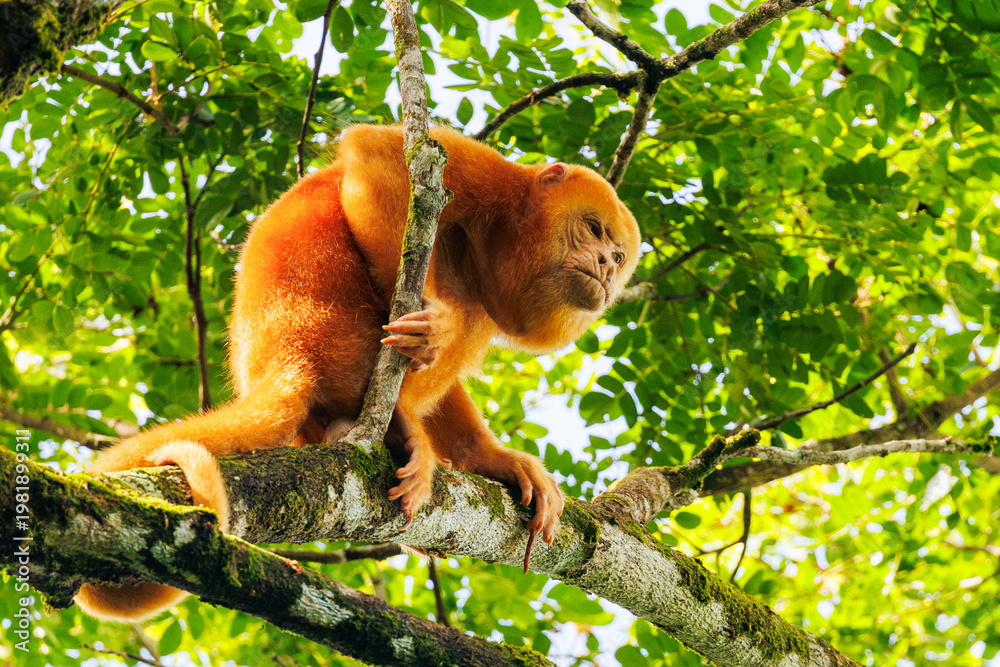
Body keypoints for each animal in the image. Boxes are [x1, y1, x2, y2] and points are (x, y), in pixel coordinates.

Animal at [75, 125, 641, 622]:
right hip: (333, 322)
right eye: (593, 229)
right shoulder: (488, 175)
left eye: (617, 256)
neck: (501, 236)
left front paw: (495, 459)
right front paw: (433, 323)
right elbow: (379, 157)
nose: (605, 266)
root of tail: (277, 355)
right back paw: (398, 420)